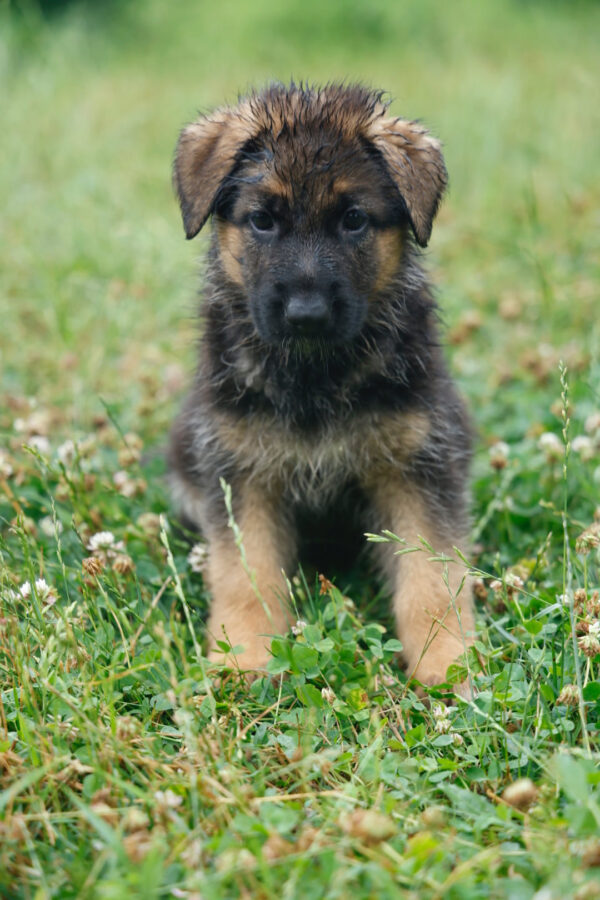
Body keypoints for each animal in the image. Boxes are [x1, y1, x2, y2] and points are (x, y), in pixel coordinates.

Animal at [168, 84, 474, 688]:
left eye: (353, 219)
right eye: (263, 220)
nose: (305, 315)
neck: (314, 377)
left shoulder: (419, 468)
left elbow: (432, 580)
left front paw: (446, 662)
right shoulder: (241, 471)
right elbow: (247, 573)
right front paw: (243, 656)